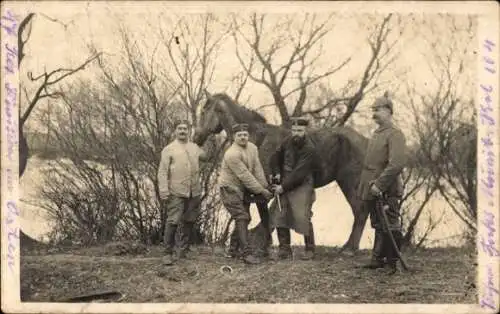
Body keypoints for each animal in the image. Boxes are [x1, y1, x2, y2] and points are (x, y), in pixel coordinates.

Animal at [193, 91, 370, 255]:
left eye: (203, 111)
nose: (196, 138)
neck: (255, 139)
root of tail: (367, 141)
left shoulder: (262, 188)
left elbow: (263, 217)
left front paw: (261, 247)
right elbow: (248, 214)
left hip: (349, 183)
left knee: (360, 211)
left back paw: (349, 248)